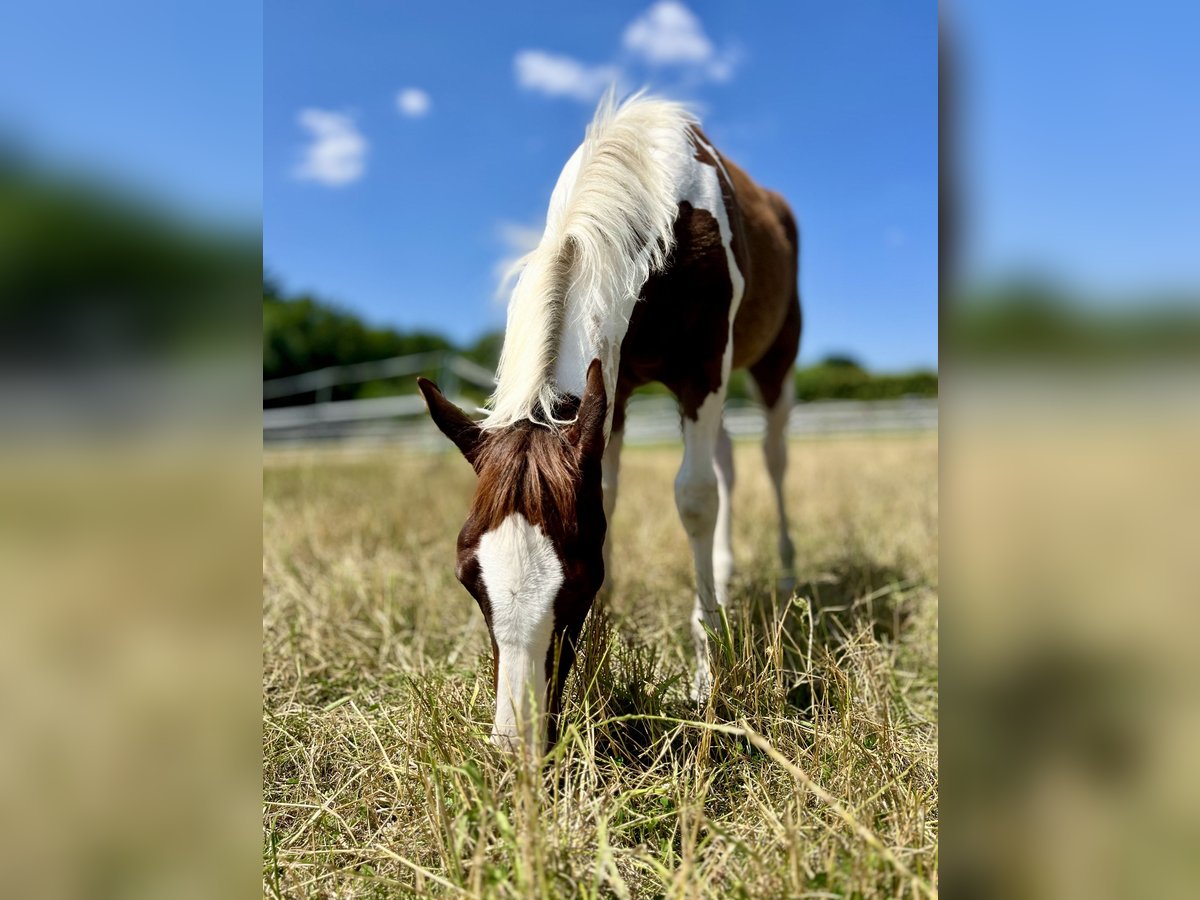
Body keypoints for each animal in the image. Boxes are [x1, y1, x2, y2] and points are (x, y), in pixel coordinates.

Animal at [417, 92, 801, 749]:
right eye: (469, 577)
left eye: (577, 582)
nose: (516, 743)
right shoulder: (611, 393)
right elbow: (613, 493)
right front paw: (607, 644)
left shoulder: (704, 370)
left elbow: (694, 498)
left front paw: (704, 675)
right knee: (728, 459)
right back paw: (724, 581)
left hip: (772, 361)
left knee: (773, 459)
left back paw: (783, 573)